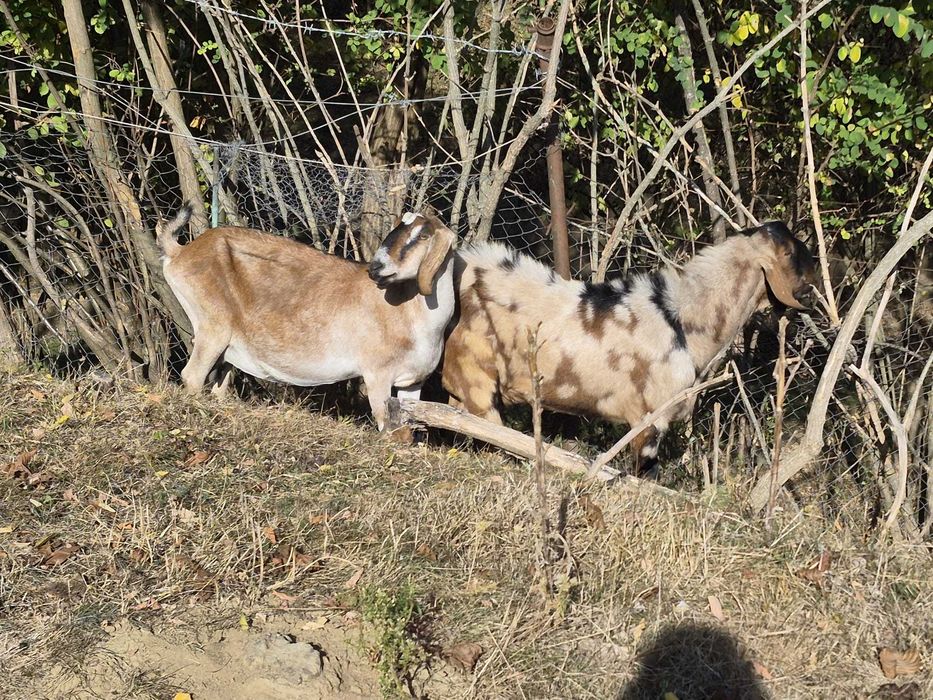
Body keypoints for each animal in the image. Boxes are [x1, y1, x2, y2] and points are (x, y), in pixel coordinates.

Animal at [157, 209, 457, 430]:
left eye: (423, 234)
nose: (376, 268)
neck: (410, 314)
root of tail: (180, 252)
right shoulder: (377, 375)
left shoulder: (413, 383)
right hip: (213, 327)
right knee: (192, 375)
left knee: (219, 385)